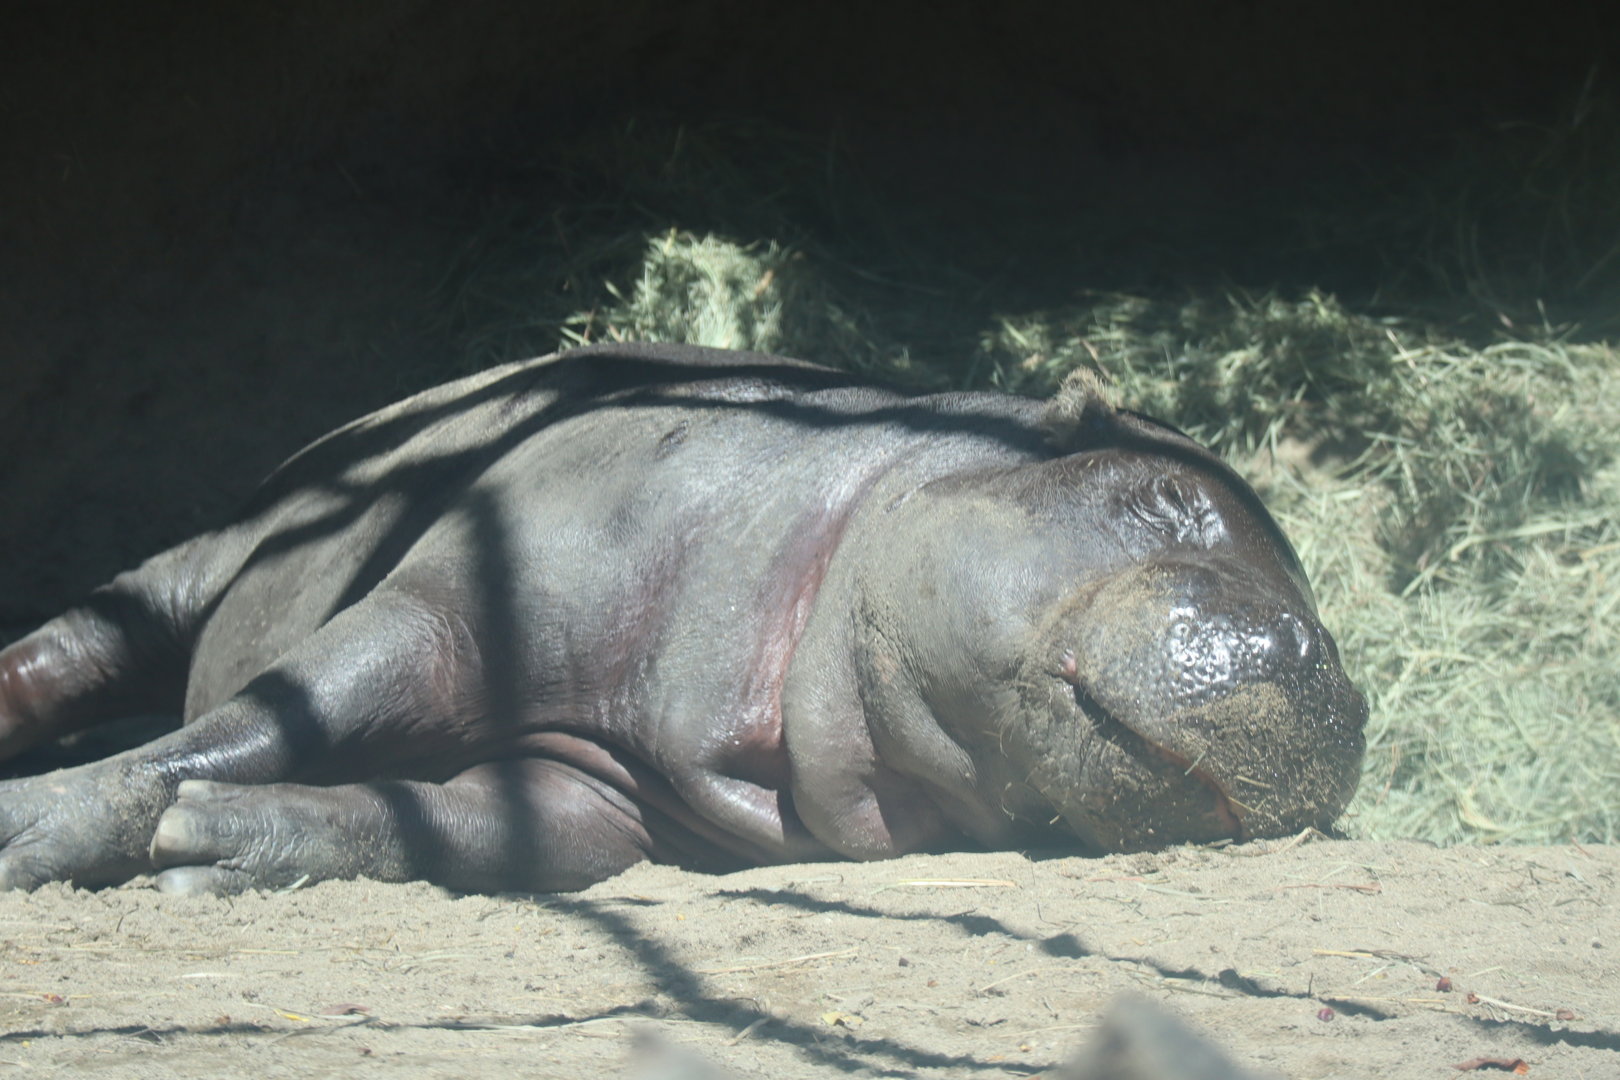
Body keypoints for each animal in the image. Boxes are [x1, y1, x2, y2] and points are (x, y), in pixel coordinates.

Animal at [0, 343, 1366, 895]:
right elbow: (265, 715)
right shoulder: (443, 613)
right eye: (1165, 491)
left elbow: (453, 828)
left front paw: (210, 853)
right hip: (206, 560)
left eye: (1319, 600)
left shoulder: (593, 788)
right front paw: (32, 832)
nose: (1323, 665)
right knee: (78, 652)